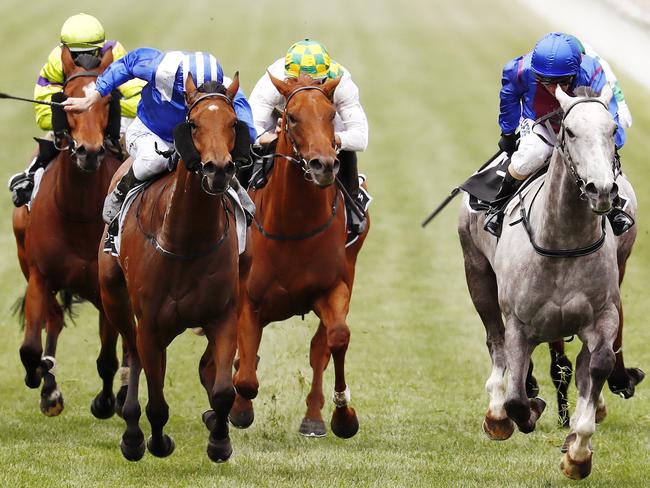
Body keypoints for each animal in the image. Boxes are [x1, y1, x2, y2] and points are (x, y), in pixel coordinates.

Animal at [12, 45, 123, 418]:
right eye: (66, 100)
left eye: (107, 101)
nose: (88, 152)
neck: (78, 213)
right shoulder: (39, 276)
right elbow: (31, 347)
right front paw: (44, 383)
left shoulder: (105, 288)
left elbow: (108, 358)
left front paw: (105, 401)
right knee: (55, 320)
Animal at [100, 72, 242, 462]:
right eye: (193, 124)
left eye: (232, 123)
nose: (218, 170)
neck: (186, 241)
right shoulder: (149, 323)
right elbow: (158, 402)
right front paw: (156, 441)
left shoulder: (224, 315)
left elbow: (223, 389)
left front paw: (219, 441)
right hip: (115, 299)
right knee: (133, 353)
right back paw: (132, 434)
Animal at [227, 72, 370, 438]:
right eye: (291, 118)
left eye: (331, 115)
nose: (324, 165)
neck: (293, 225)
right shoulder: (248, 298)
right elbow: (246, 377)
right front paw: (239, 410)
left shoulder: (333, 288)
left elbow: (336, 338)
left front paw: (343, 416)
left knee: (320, 347)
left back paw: (314, 417)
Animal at [458, 85, 636, 480]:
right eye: (569, 131)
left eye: (611, 128)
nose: (602, 190)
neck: (563, 241)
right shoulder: (519, 324)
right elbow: (516, 399)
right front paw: (522, 410)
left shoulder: (602, 314)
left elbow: (597, 366)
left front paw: (578, 453)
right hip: (477, 274)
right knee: (495, 341)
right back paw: (497, 412)